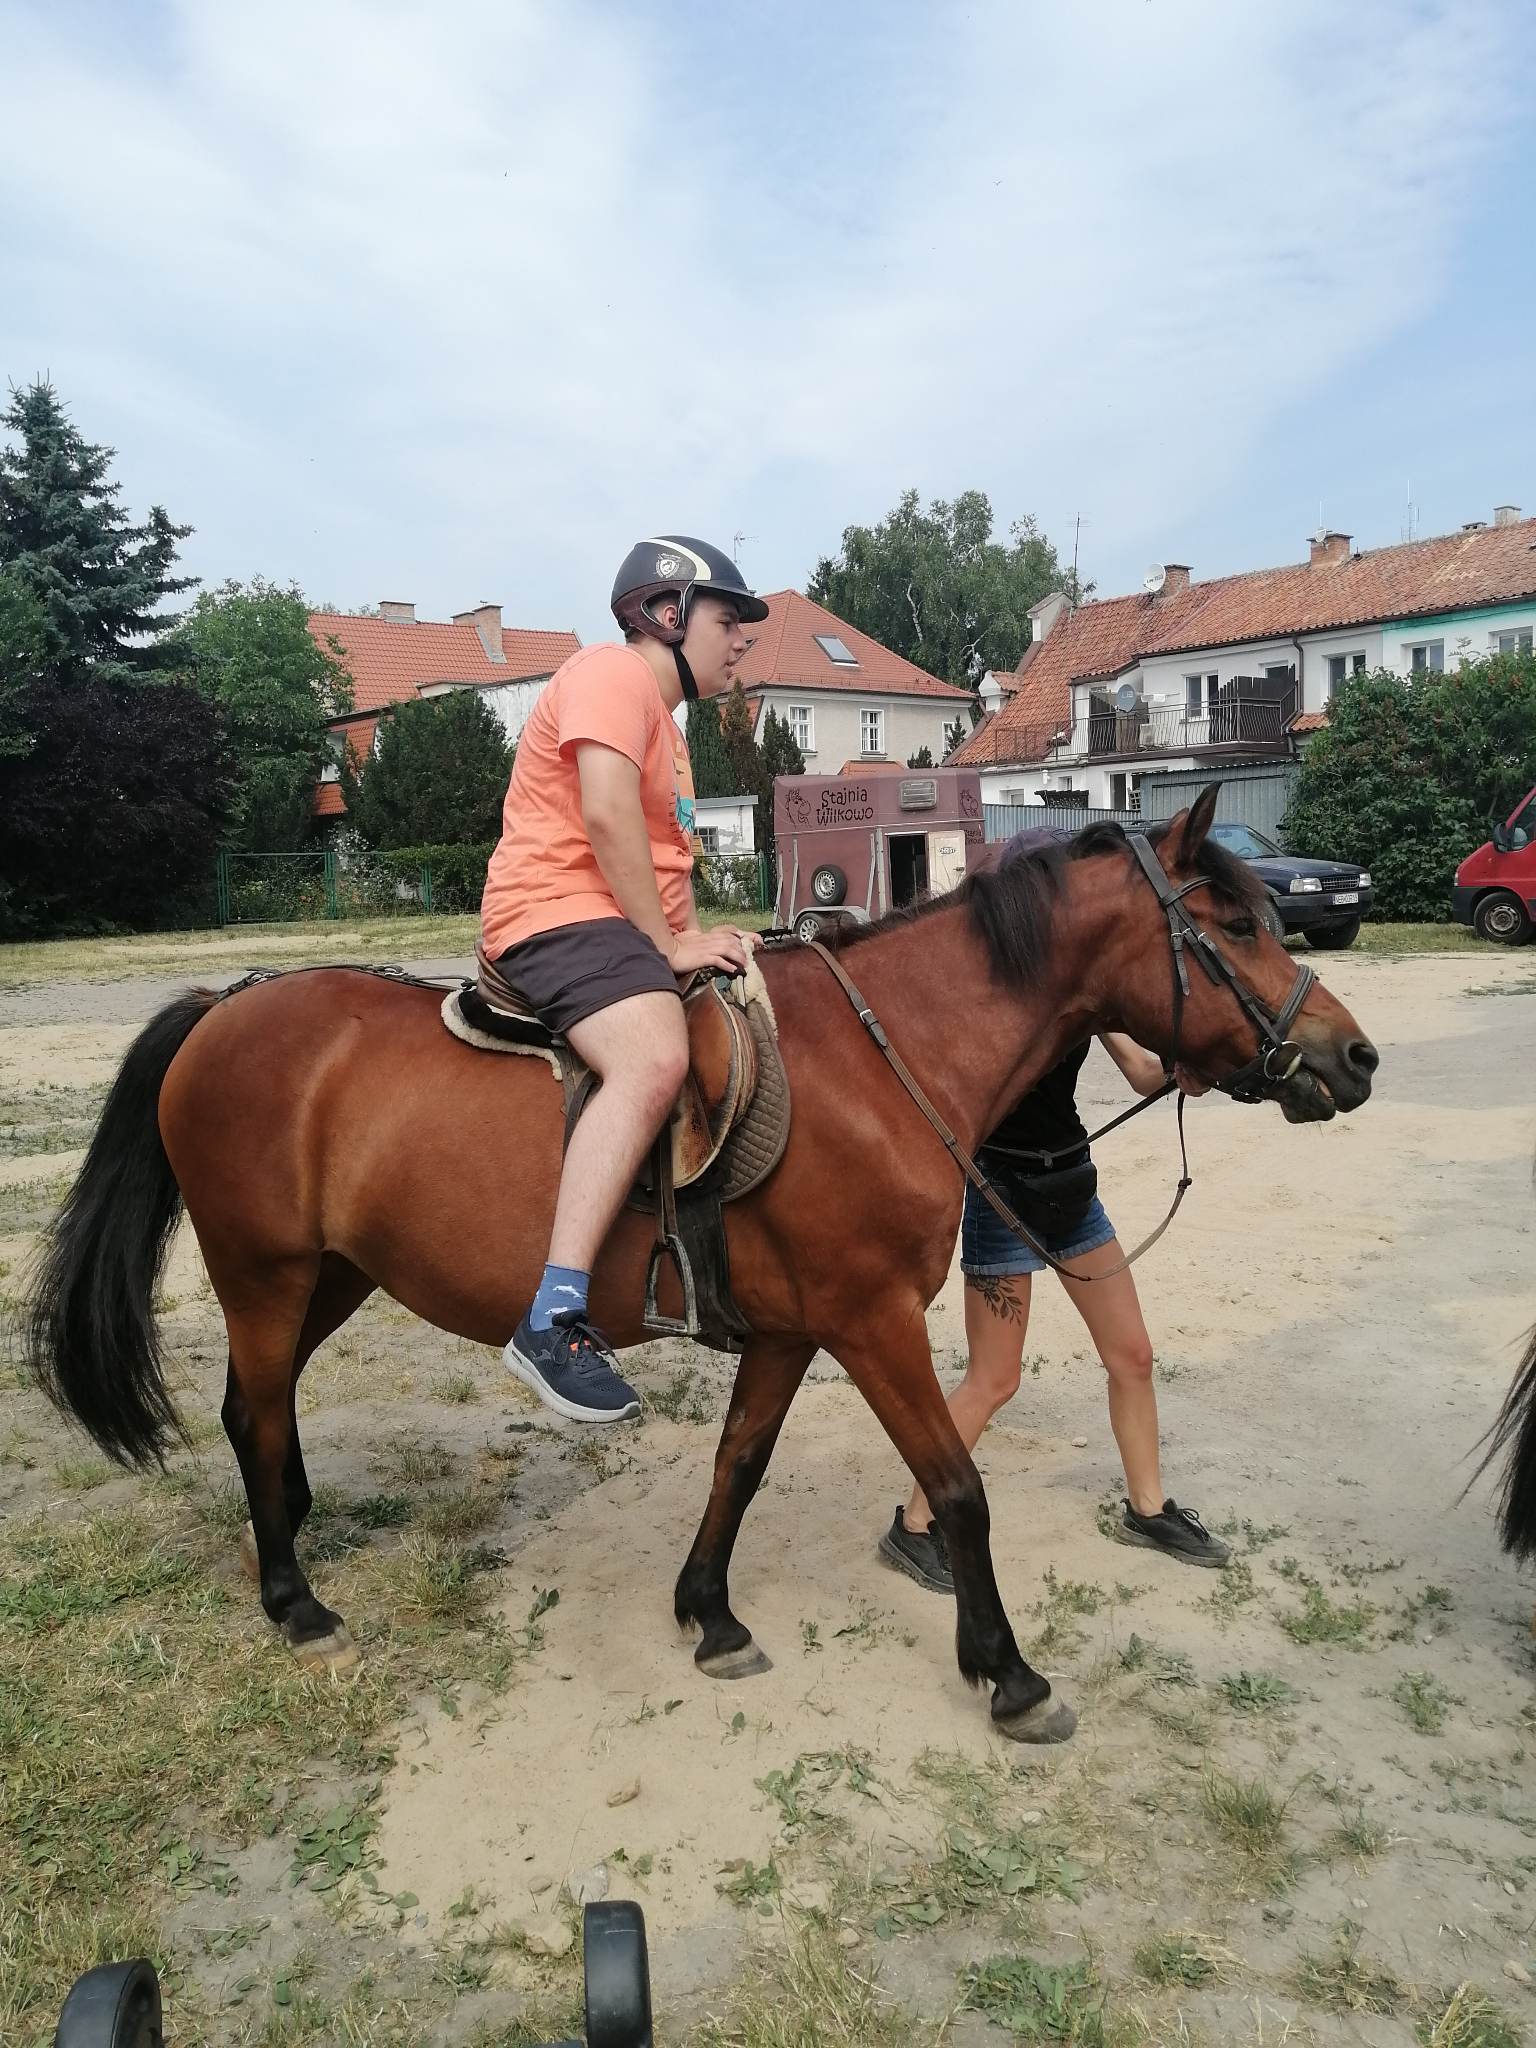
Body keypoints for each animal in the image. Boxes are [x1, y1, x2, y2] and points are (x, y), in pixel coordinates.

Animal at [25, 787, 1378, 1744]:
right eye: (1236, 923)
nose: (1353, 1056)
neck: (880, 1059)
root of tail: (224, 1004)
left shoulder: (789, 1328)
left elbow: (741, 1461)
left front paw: (710, 1611)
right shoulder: (870, 1318)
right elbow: (958, 1489)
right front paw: (1007, 1670)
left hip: (331, 1273)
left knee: (252, 1403)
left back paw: (294, 1532)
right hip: (263, 1271)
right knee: (254, 1407)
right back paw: (293, 1598)